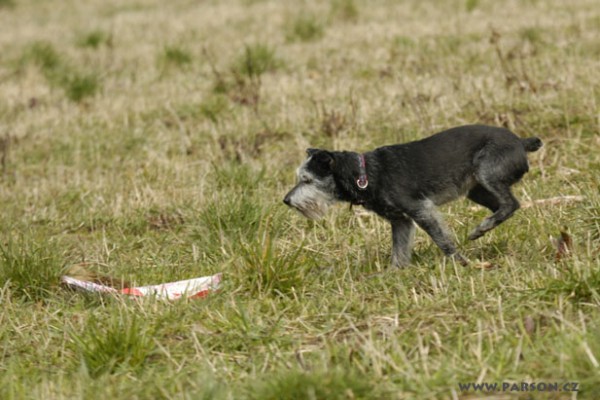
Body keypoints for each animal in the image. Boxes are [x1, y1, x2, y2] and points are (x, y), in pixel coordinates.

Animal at [284, 125, 540, 268]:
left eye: (307, 180)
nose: (286, 200)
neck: (364, 173)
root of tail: (521, 142)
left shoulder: (421, 210)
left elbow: (442, 240)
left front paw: (460, 263)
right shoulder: (401, 221)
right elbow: (399, 251)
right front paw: (393, 274)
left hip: (486, 173)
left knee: (511, 203)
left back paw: (482, 228)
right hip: (476, 190)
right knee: (506, 207)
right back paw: (482, 229)